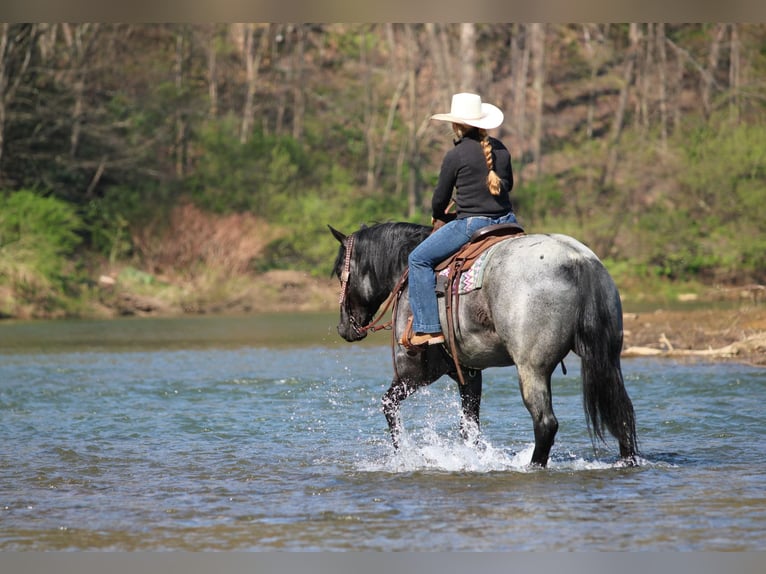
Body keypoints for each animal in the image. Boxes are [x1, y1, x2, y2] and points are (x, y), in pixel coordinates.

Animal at [329, 221, 638, 467]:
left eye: (339, 272)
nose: (344, 328)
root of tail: (578, 261)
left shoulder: (418, 372)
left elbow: (388, 405)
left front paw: (404, 453)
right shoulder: (469, 373)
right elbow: (470, 428)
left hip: (532, 369)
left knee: (545, 424)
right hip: (608, 359)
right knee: (621, 412)